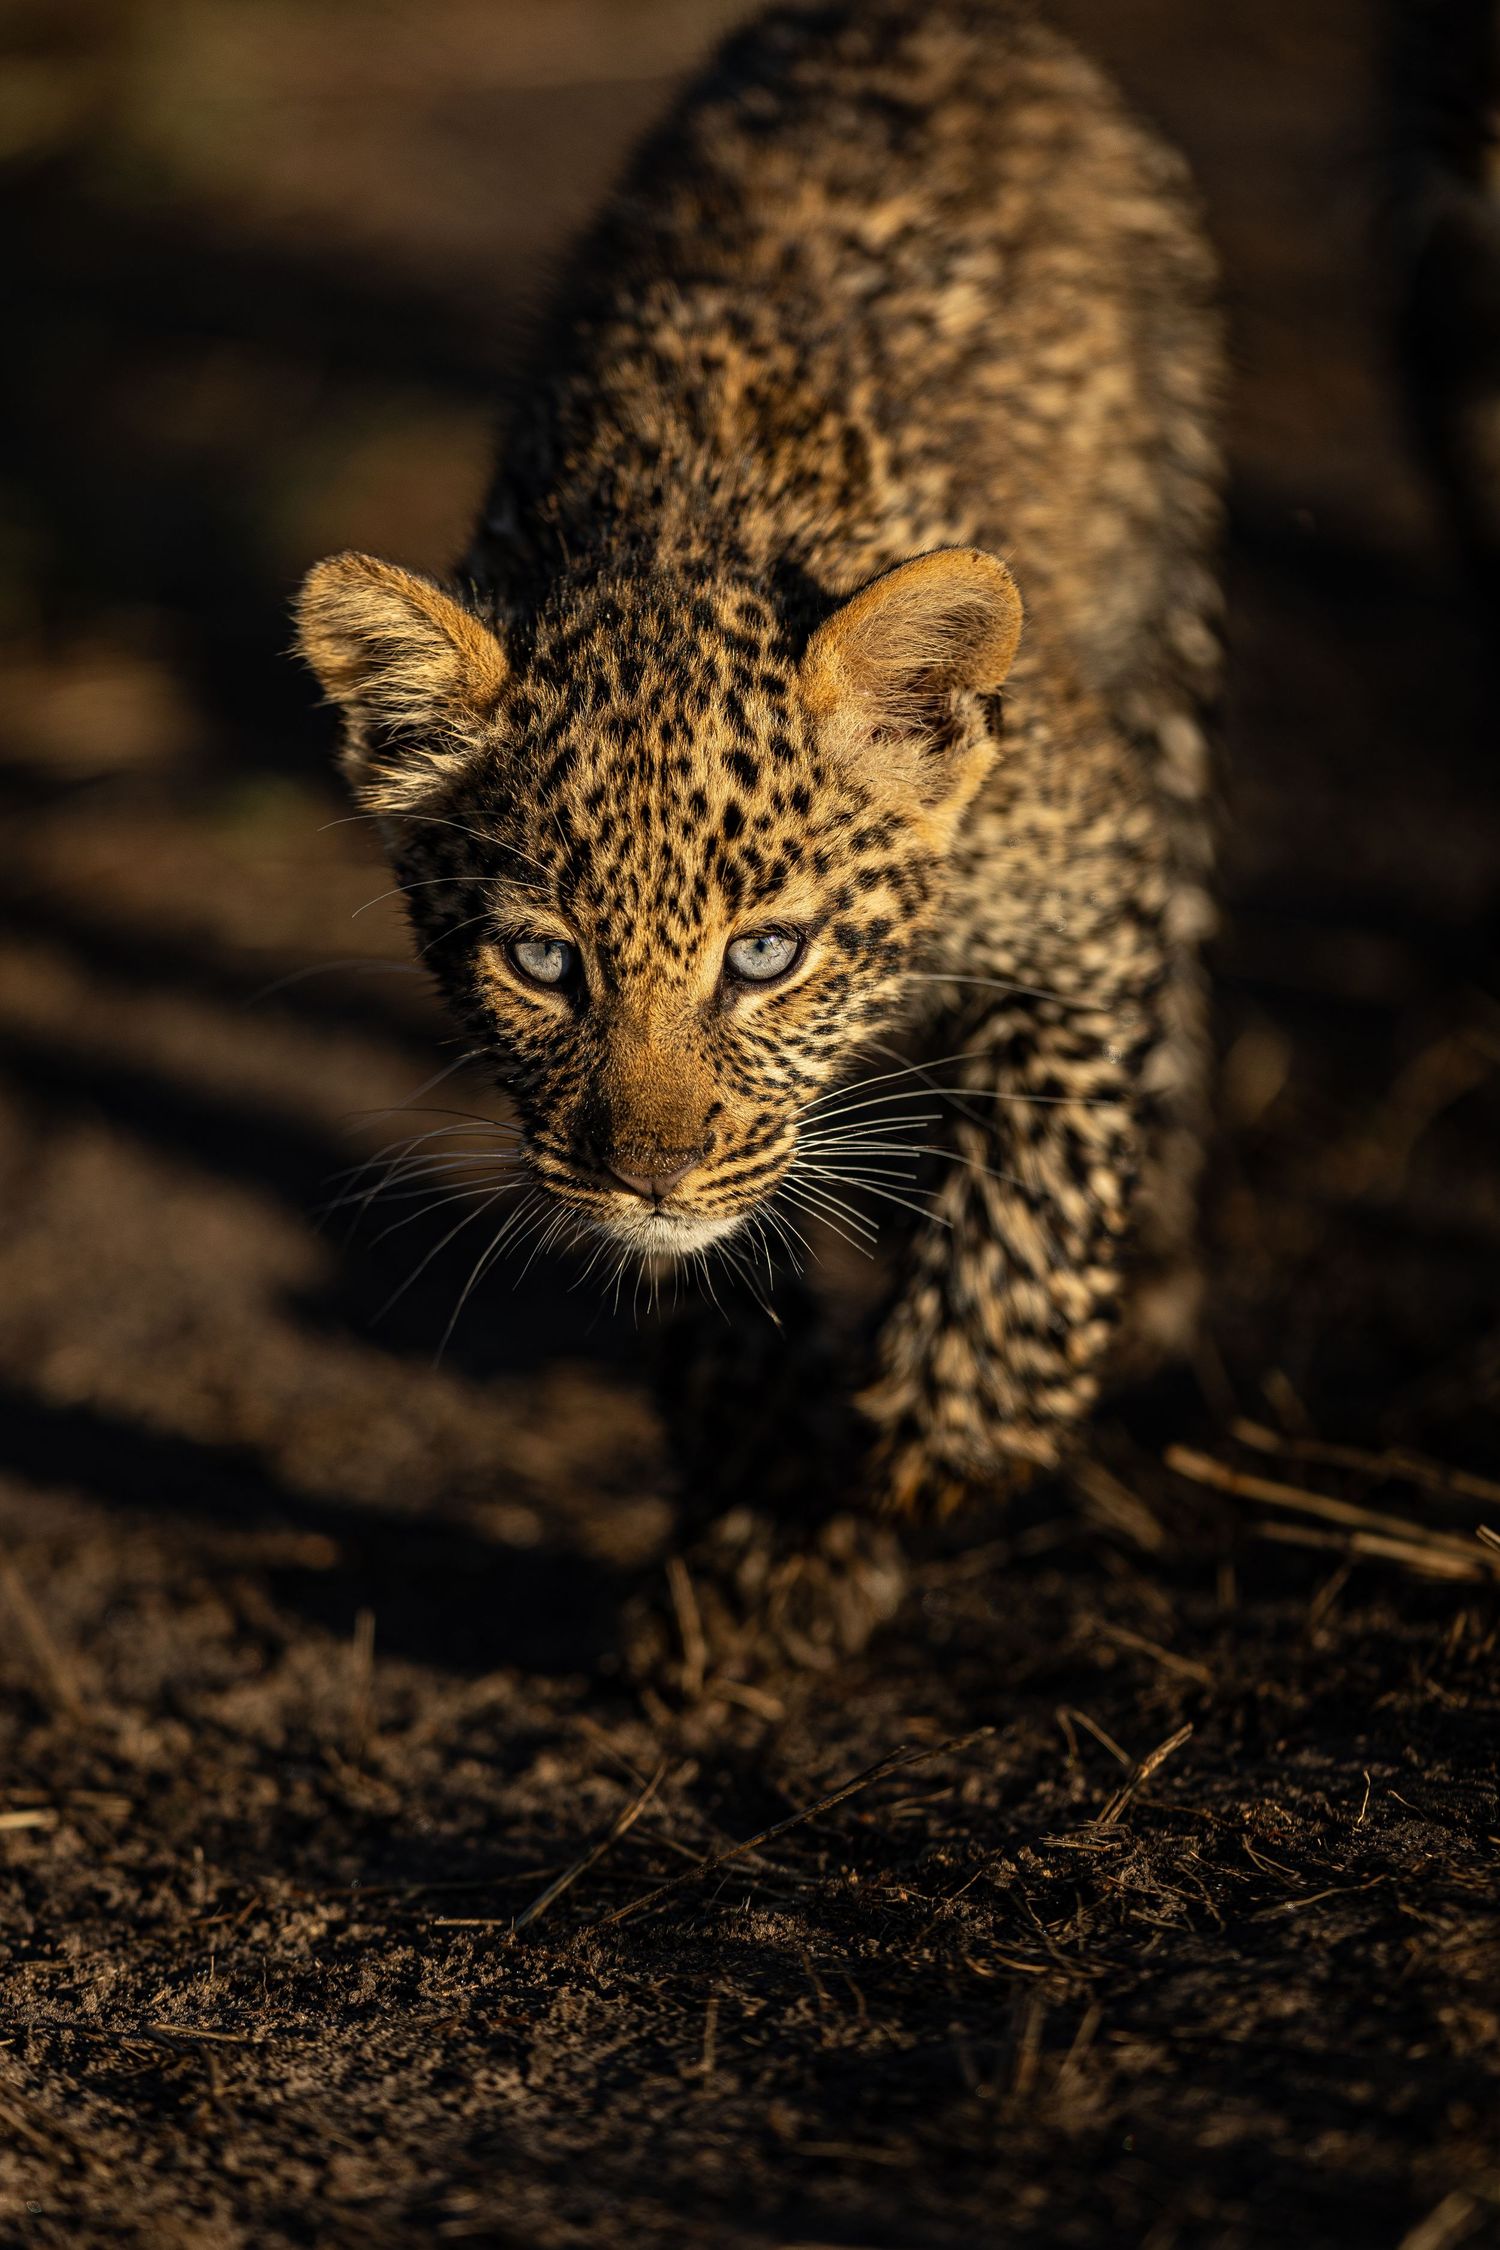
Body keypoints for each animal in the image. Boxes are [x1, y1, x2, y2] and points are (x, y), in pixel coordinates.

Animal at [296, 0, 1224, 1608]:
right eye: (544, 962)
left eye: (767, 957)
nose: (652, 1178)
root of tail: (914, 13)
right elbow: (709, 1292)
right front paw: (766, 1515)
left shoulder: (1090, 899)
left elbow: (1042, 1173)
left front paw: (950, 1433)